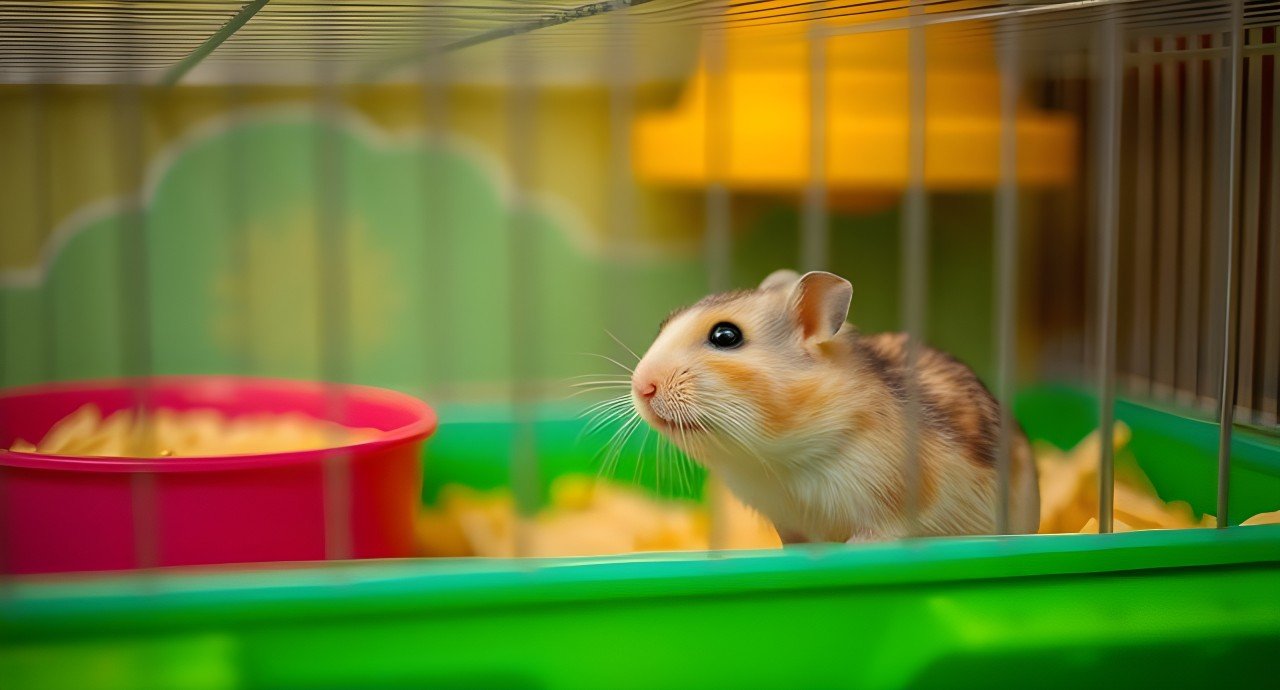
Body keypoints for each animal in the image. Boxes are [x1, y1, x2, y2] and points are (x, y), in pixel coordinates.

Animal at [630, 269, 1040, 543]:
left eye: (726, 335)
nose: (641, 386)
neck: (780, 460)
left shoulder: (890, 505)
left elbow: (872, 538)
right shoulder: (788, 522)